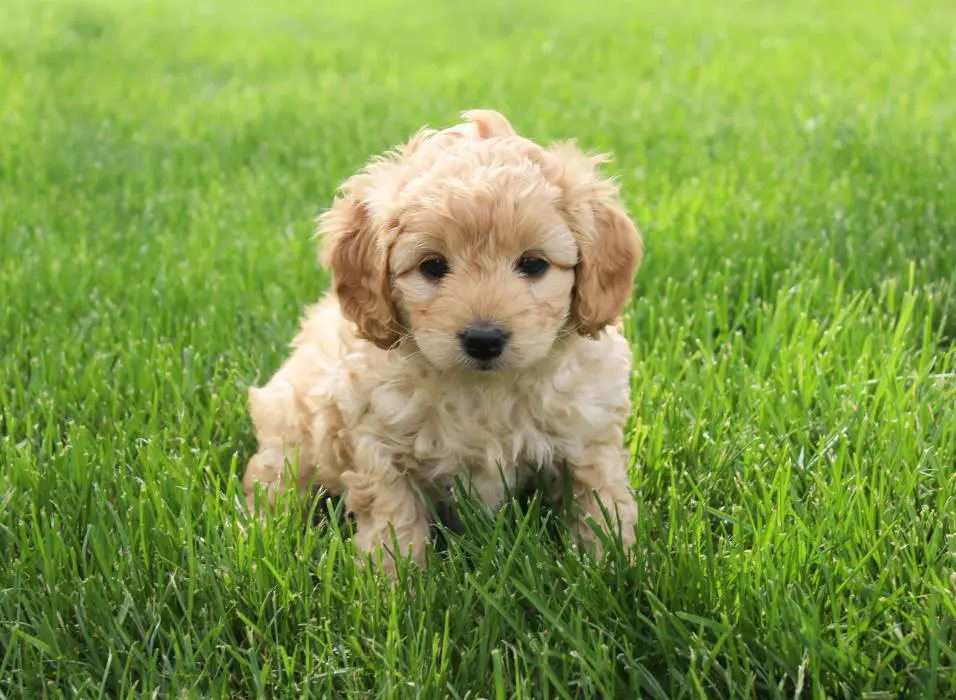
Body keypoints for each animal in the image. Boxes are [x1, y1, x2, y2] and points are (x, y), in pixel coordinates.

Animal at [243, 108, 648, 568]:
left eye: (533, 264)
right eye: (433, 266)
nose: (484, 339)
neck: (487, 392)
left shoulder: (588, 429)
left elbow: (600, 500)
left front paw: (613, 566)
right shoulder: (380, 446)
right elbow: (394, 521)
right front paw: (392, 581)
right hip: (290, 436)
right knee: (271, 483)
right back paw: (260, 536)